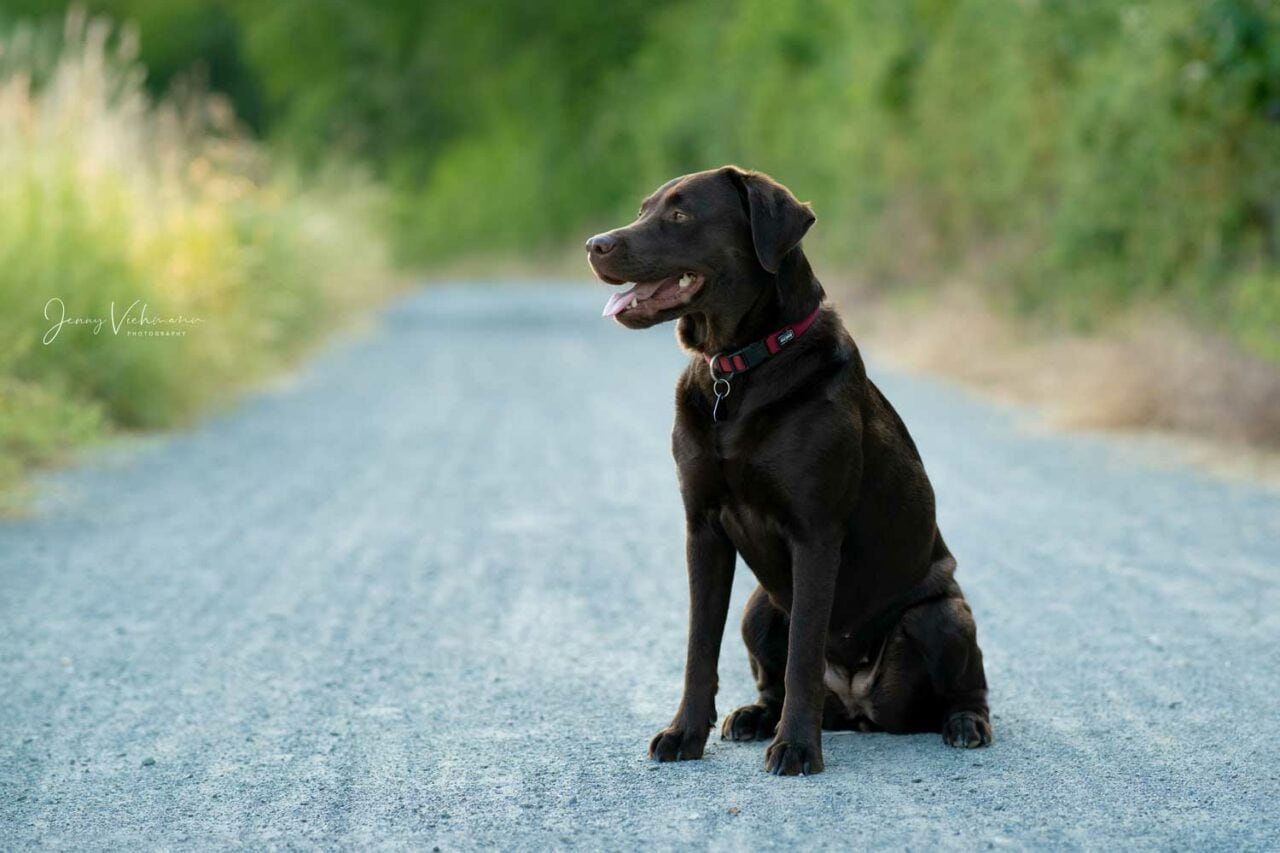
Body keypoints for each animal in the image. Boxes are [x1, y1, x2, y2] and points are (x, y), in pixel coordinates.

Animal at [586, 163, 993, 768]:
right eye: (642, 210)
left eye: (680, 214)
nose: (595, 244)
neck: (738, 371)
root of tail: (856, 707)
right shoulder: (703, 528)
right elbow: (699, 647)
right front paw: (685, 734)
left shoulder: (815, 534)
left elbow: (804, 649)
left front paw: (798, 746)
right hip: (759, 608)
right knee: (769, 680)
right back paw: (755, 718)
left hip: (941, 617)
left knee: (969, 684)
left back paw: (964, 722)